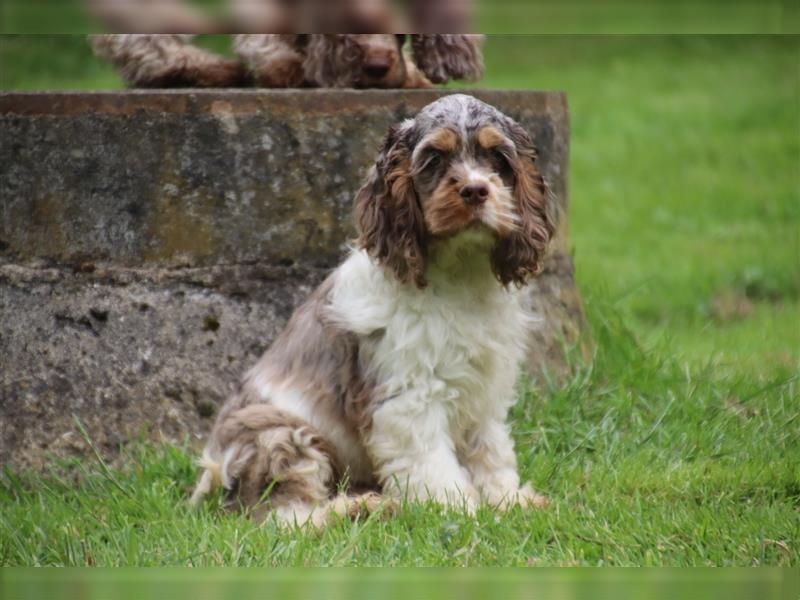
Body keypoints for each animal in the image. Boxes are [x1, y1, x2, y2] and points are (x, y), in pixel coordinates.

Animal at [192, 94, 556, 524]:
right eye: (434, 159)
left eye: (497, 157)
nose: (475, 190)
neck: (459, 274)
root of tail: (210, 475)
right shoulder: (408, 395)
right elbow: (431, 464)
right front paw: (457, 510)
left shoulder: (483, 391)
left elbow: (491, 452)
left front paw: (508, 501)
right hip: (281, 436)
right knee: (289, 516)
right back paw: (361, 507)